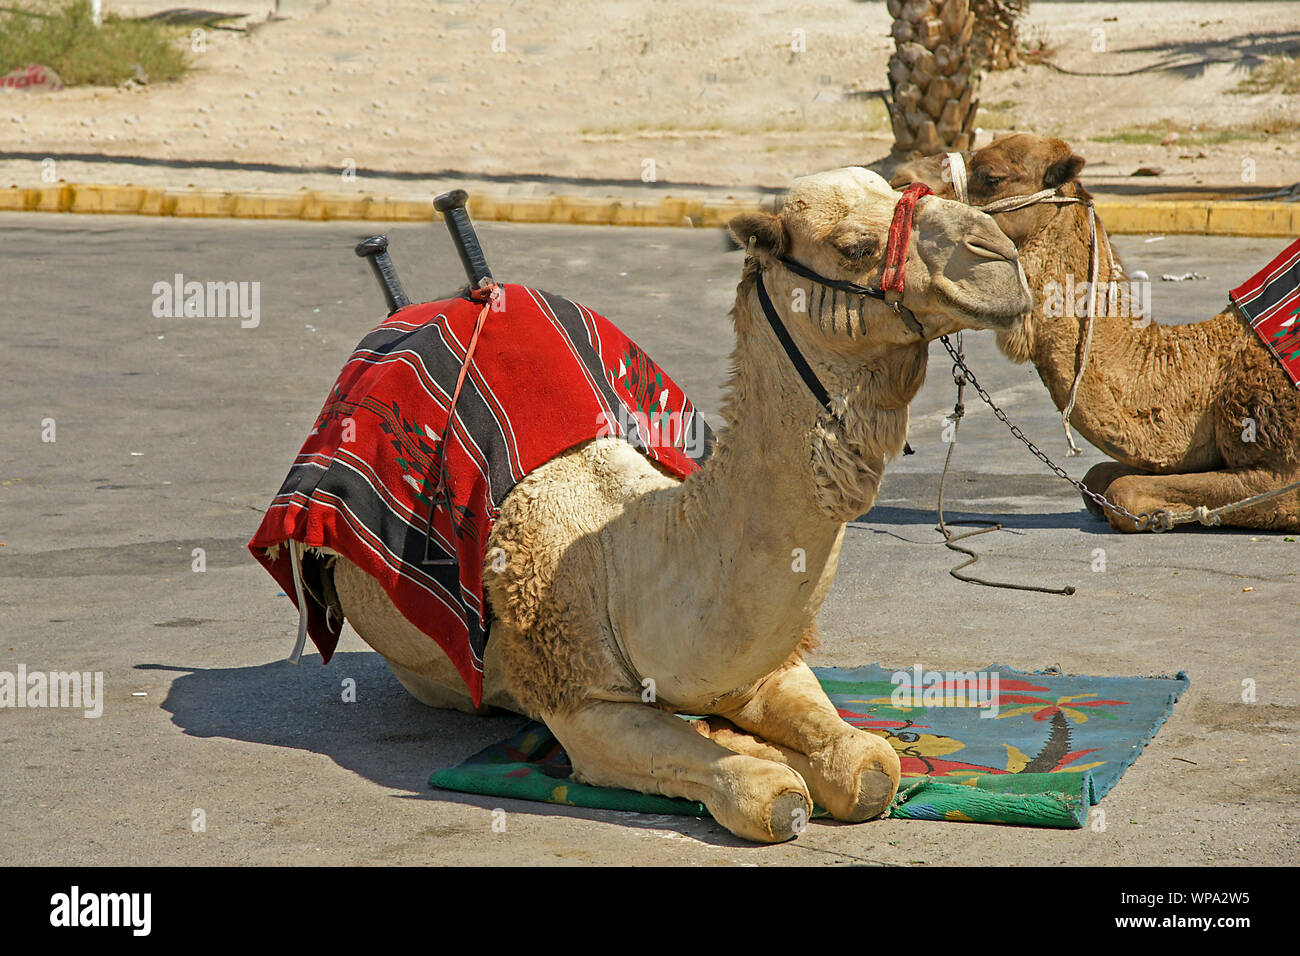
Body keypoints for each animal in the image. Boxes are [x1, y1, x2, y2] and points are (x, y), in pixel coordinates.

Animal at [312, 167, 1024, 842]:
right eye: (855, 247)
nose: (1001, 253)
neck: (629, 560)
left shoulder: (765, 667)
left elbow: (868, 765)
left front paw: (763, 740)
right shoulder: (586, 704)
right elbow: (770, 795)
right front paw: (748, 756)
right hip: (431, 678)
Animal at [889, 134, 1300, 535]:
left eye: (993, 176)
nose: (901, 179)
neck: (1213, 372)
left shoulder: (1282, 464)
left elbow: (1122, 491)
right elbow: (1098, 478)